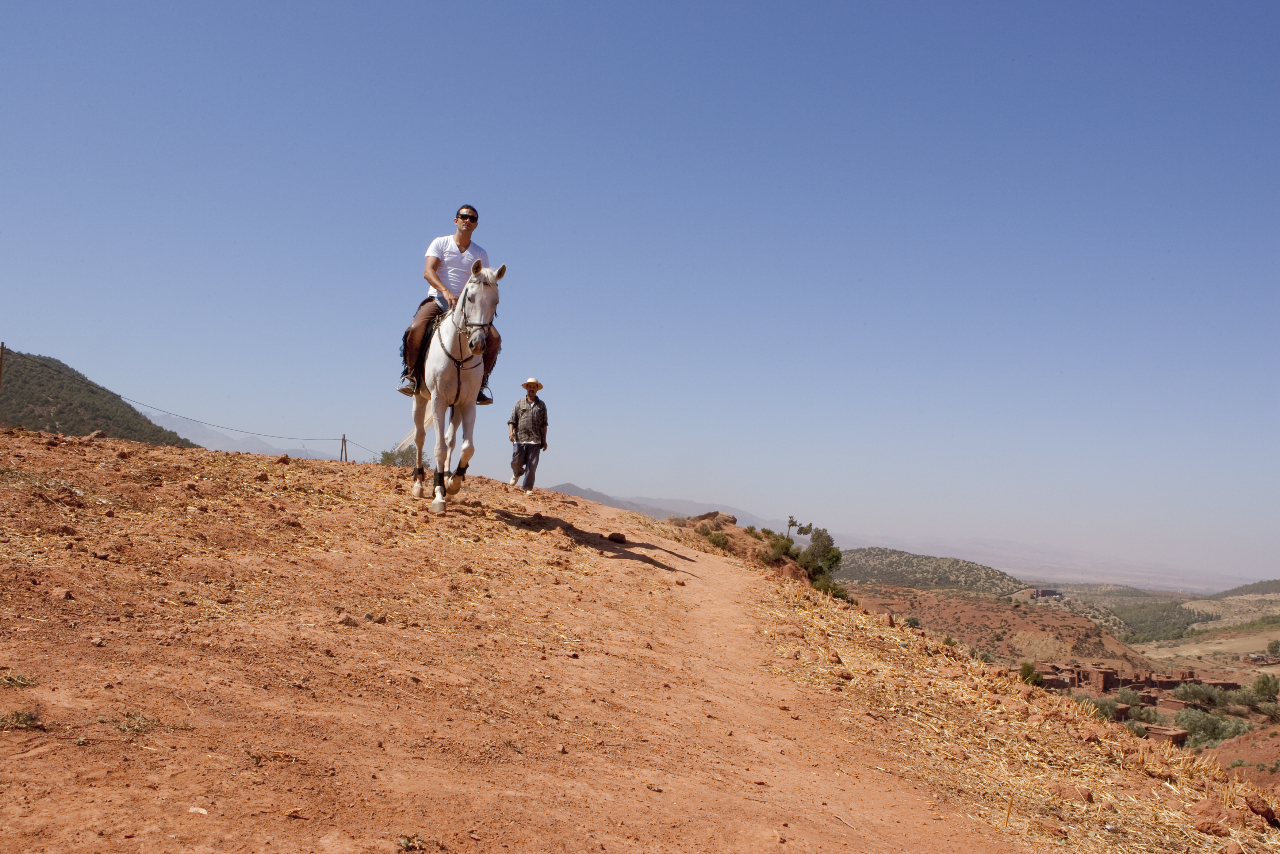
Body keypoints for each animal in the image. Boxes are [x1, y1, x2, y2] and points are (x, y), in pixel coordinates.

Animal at [401, 261, 501, 512]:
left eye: (496, 301)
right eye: (471, 297)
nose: (478, 344)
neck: (460, 354)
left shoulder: (468, 403)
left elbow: (467, 447)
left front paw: (453, 482)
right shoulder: (438, 400)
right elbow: (438, 448)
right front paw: (438, 494)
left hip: (455, 407)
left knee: (450, 440)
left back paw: (446, 478)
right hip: (420, 399)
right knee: (420, 437)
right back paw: (419, 484)